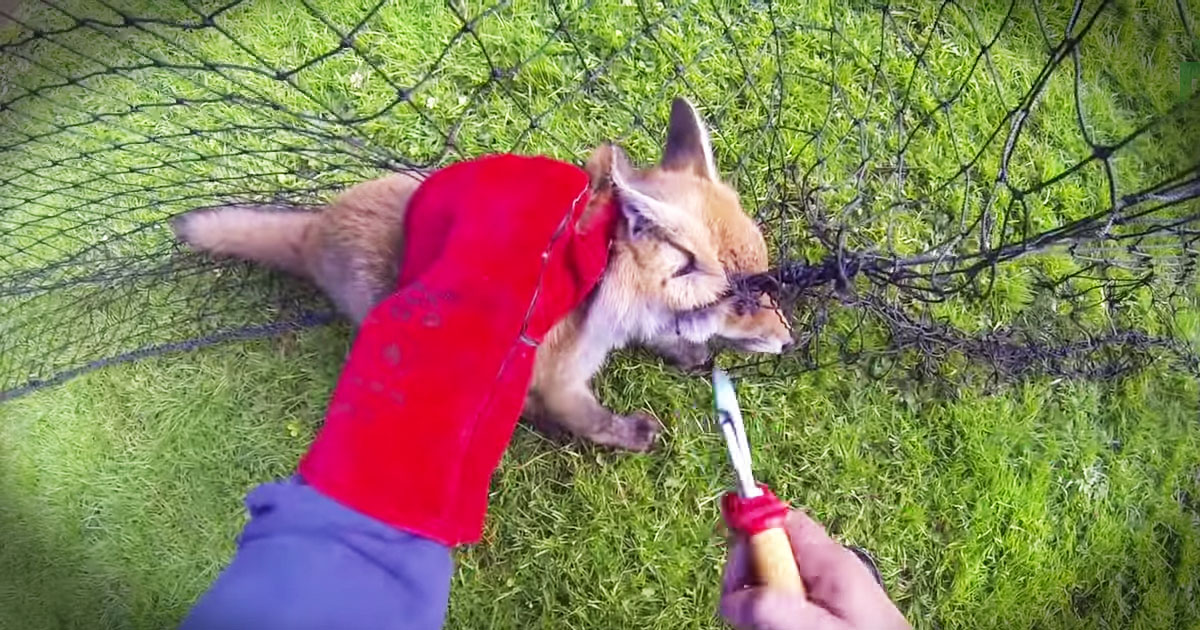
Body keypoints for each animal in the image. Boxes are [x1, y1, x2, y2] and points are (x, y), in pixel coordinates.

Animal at [171, 98, 792, 452]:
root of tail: (315, 226)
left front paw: (684, 350)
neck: (601, 291)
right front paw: (626, 436)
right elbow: (588, 418)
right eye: (740, 302)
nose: (790, 341)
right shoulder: (560, 373)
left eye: (765, 283)